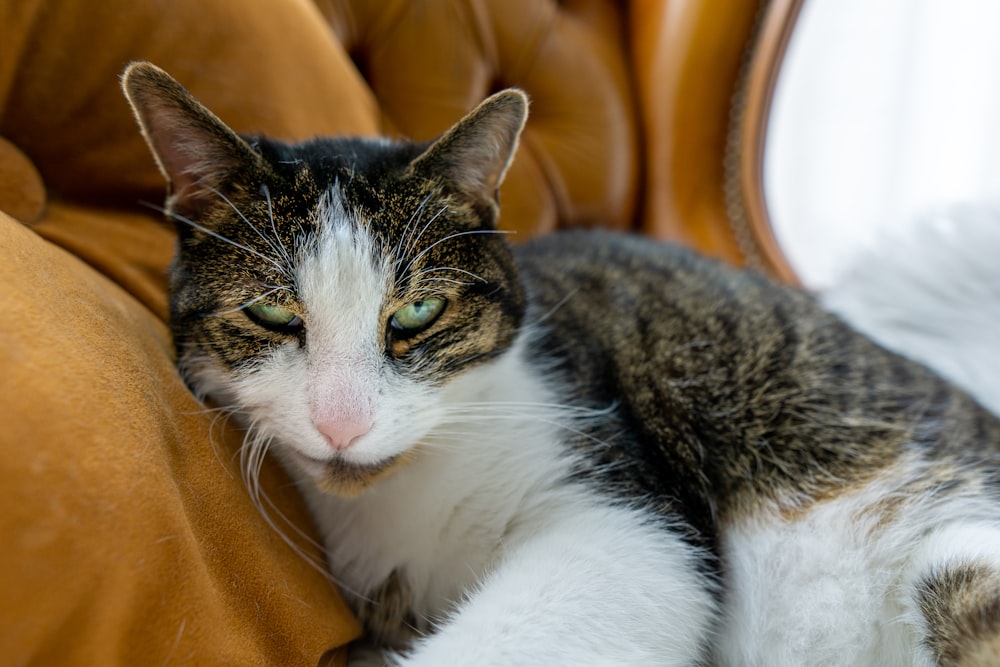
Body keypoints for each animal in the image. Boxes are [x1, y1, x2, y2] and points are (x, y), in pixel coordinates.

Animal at [123, 60, 1000, 664]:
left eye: (417, 314)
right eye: (273, 314)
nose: (344, 423)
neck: (399, 496)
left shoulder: (625, 509)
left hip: (953, 557)